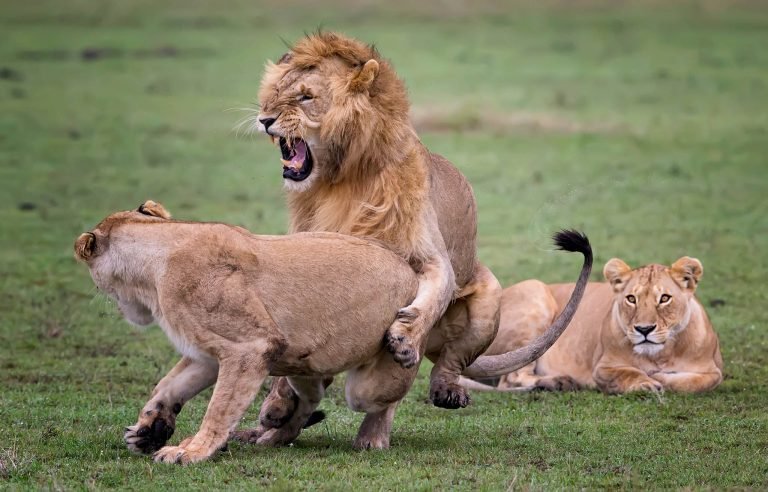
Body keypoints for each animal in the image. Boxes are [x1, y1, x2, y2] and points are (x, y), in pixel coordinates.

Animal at [75, 201, 591, 463]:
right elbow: (168, 387)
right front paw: (148, 430)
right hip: (298, 360)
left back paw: (369, 437)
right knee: (306, 398)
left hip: (366, 379)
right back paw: (276, 432)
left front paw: (190, 451)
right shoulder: (207, 352)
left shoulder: (247, 348)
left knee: (380, 399)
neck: (159, 253)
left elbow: (218, 410)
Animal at [461, 257, 723, 394]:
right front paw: (648, 382)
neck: (659, 354)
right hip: (535, 293)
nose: (644, 330)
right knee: (511, 380)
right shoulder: (602, 368)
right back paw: (559, 382)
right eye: (631, 299)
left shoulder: (714, 370)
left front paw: (661, 378)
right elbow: (629, 373)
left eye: (665, 298)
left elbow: (694, 382)